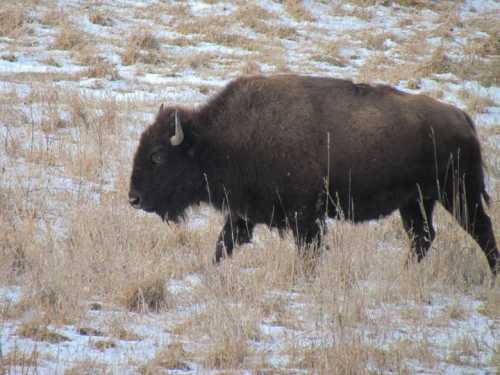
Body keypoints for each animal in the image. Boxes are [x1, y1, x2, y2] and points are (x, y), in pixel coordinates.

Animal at [130, 75, 500, 276]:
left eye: (157, 157)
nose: (134, 198)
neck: (217, 139)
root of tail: (462, 118)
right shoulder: (243, 213)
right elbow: (224, 244)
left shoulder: (306, 217)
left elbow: (308, 252)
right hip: (416, 201)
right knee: (422, 237)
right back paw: (404, 274)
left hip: (458, 194)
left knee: (481, 230)